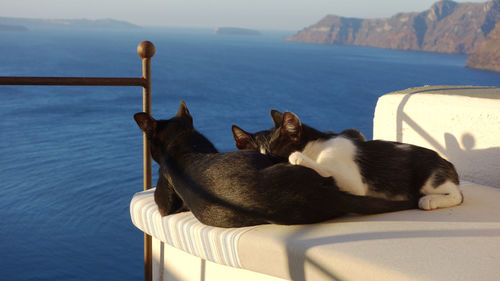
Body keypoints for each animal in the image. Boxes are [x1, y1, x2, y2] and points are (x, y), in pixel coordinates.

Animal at [232, 109, 462, 210]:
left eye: (273, 154)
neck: (317, 146)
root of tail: (449, 164)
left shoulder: (353, 181)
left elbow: (324, 168)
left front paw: (296, 157)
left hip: (429, 178)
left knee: (457, 195)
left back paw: (430, 200)